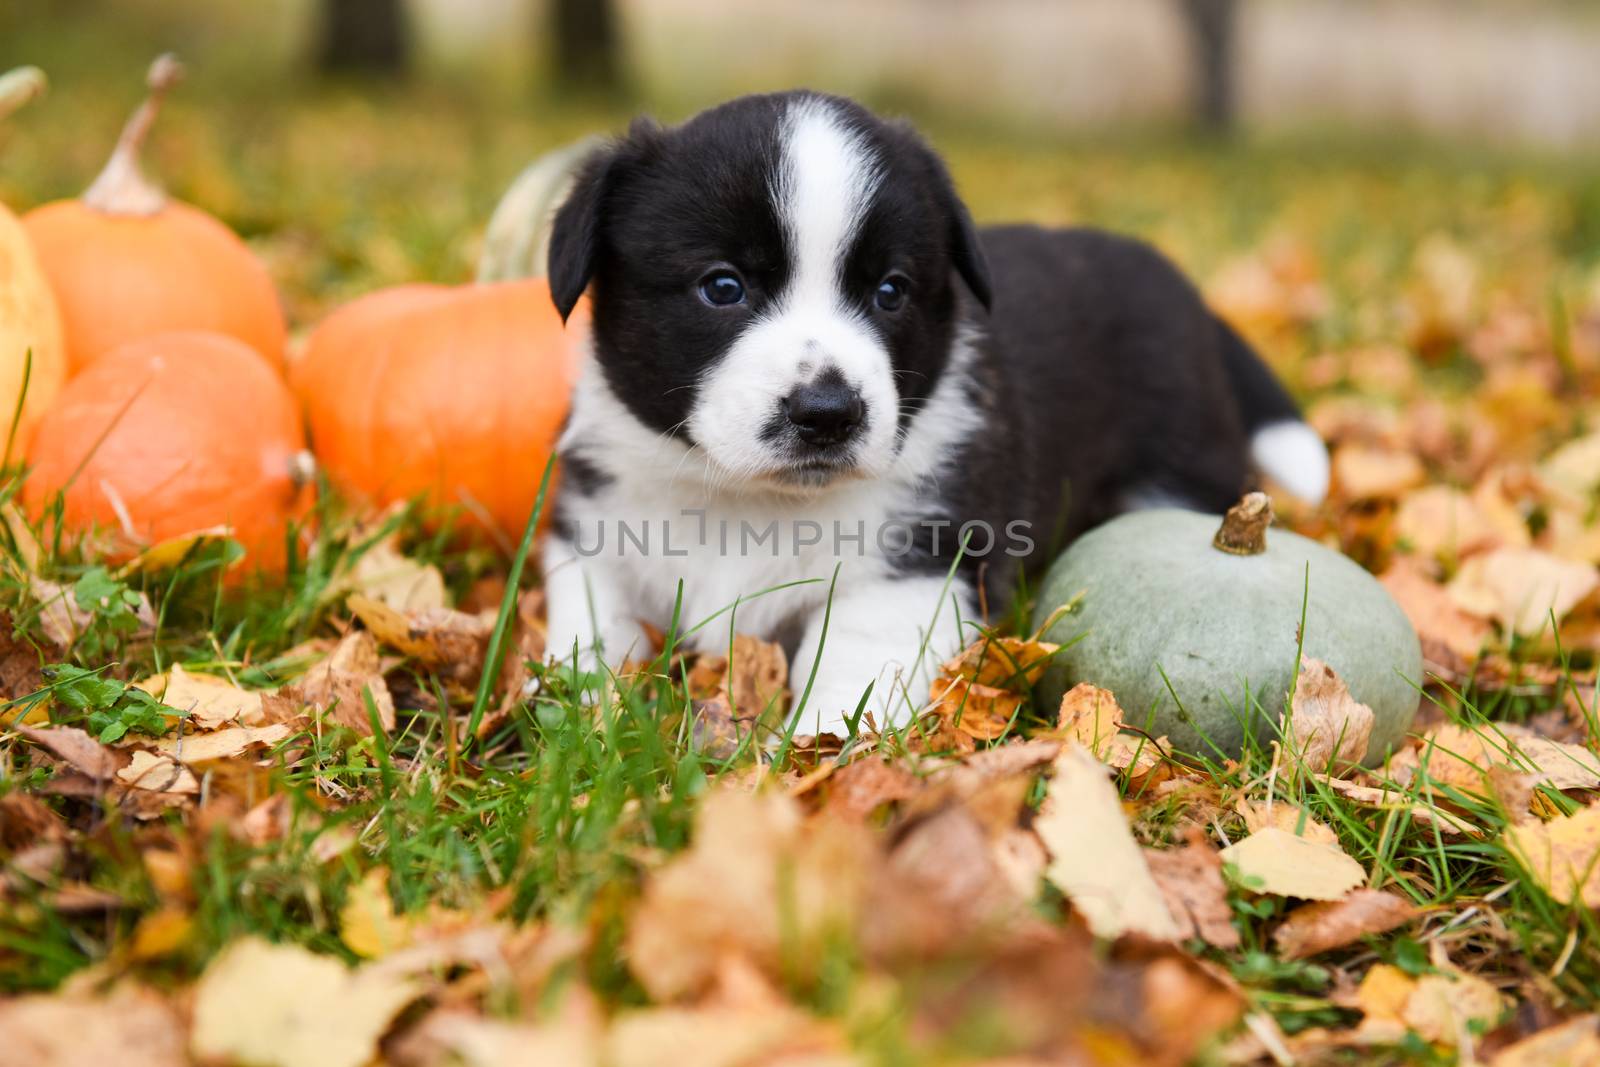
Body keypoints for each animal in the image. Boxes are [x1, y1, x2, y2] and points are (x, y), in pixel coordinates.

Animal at [537, 91, 1324, 739]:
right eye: (722, 286)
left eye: (891, 290)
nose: (828, 414)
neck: (751, 502)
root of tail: (1194, 298)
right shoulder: (593, 527)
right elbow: (590, 624)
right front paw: (580, 711)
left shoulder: (919, 560)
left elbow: (850, 655)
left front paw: (819, 748)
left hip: (1179, 463)